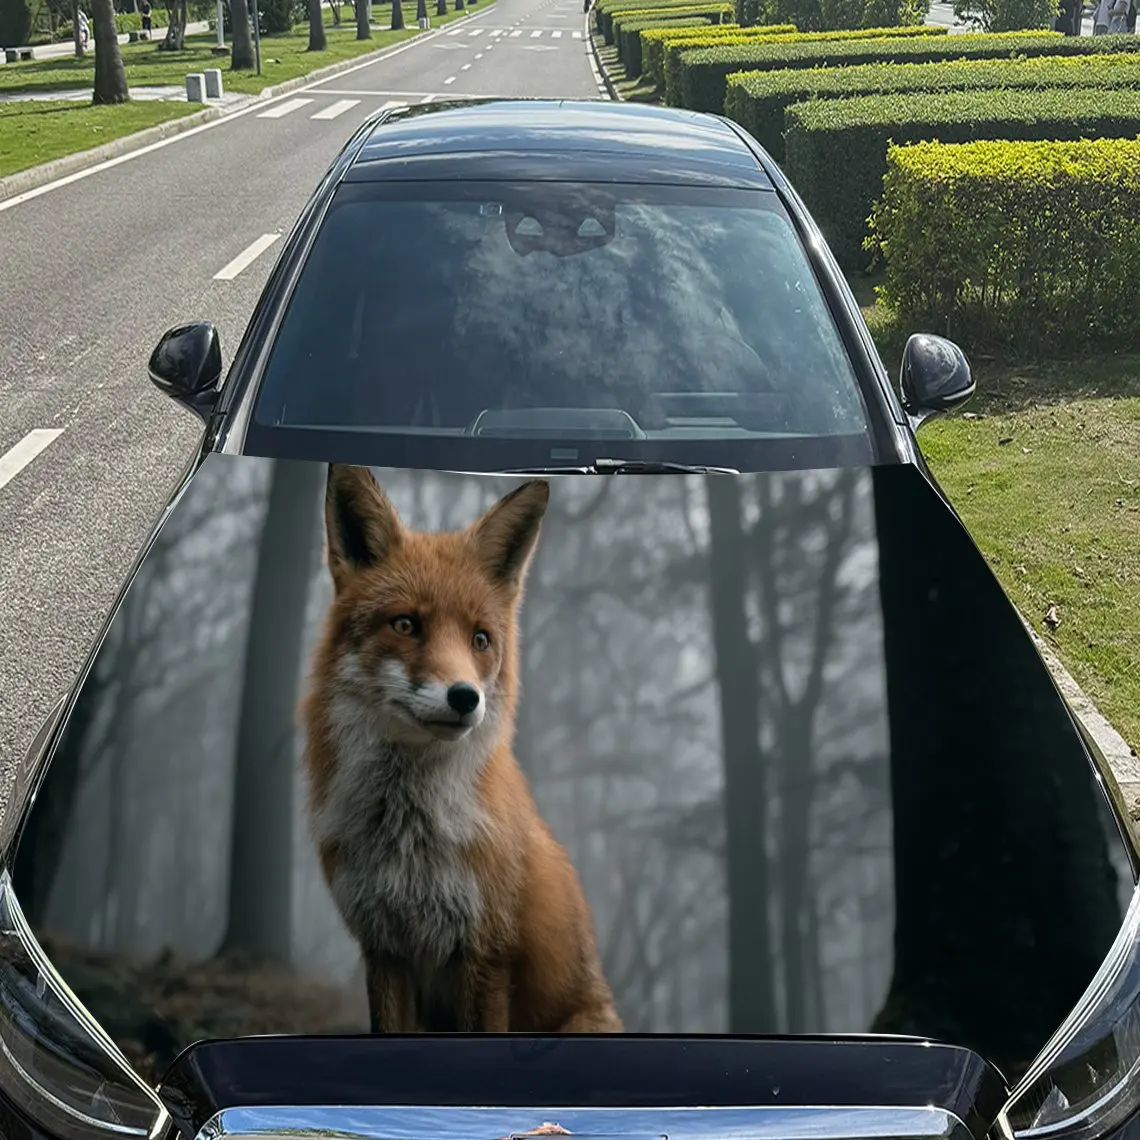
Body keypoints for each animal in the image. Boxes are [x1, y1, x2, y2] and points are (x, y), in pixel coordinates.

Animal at [301, 463, 623, 1035]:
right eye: (406, 624)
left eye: (480, 639)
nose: (465, 697)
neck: (409, 840)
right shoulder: (384, 949)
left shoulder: (484, 955)